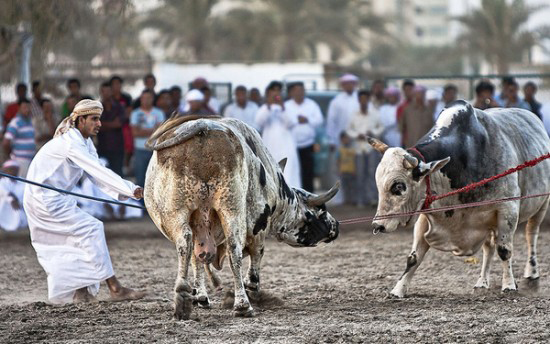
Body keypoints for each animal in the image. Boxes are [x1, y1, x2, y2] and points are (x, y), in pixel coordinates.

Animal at [143, 116, 340, 320]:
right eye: (321, 210)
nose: (336, 226)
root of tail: (202, 127)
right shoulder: (258, 223)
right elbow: (256, 253)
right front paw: (251, 286)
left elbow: (197, 258)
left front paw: (201, 296)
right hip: (232, 209)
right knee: (234, 250)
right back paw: (243, 305)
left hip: (174, 214)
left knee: (185, 244)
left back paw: (182, 298)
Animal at [370, 100, 550, 298]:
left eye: (399, 186)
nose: (378, 225)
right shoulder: (426, 216)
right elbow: (413, 257)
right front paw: (398, 290)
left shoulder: (507, 209)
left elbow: (505, 250)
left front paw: (509, 285)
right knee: (489, 247)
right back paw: (482, 282)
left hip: (541, 205)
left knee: (531, 235)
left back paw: (532, 275)